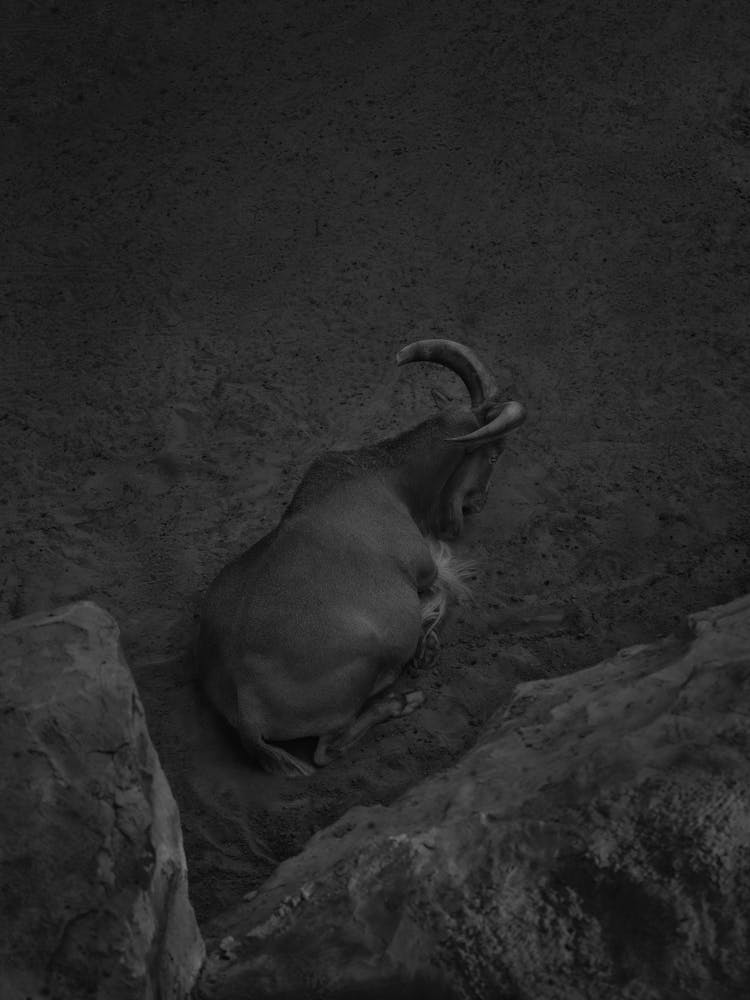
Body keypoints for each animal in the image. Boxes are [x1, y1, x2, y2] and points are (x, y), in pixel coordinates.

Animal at [196, 340, 526, 776]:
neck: (384, 477)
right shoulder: (422, 568)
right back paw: (402, 699)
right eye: (493, 454)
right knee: (326, 749)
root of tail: (244, 702)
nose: (476, 505)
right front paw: (426, 645)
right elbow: (443, 589)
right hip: (366, 661)